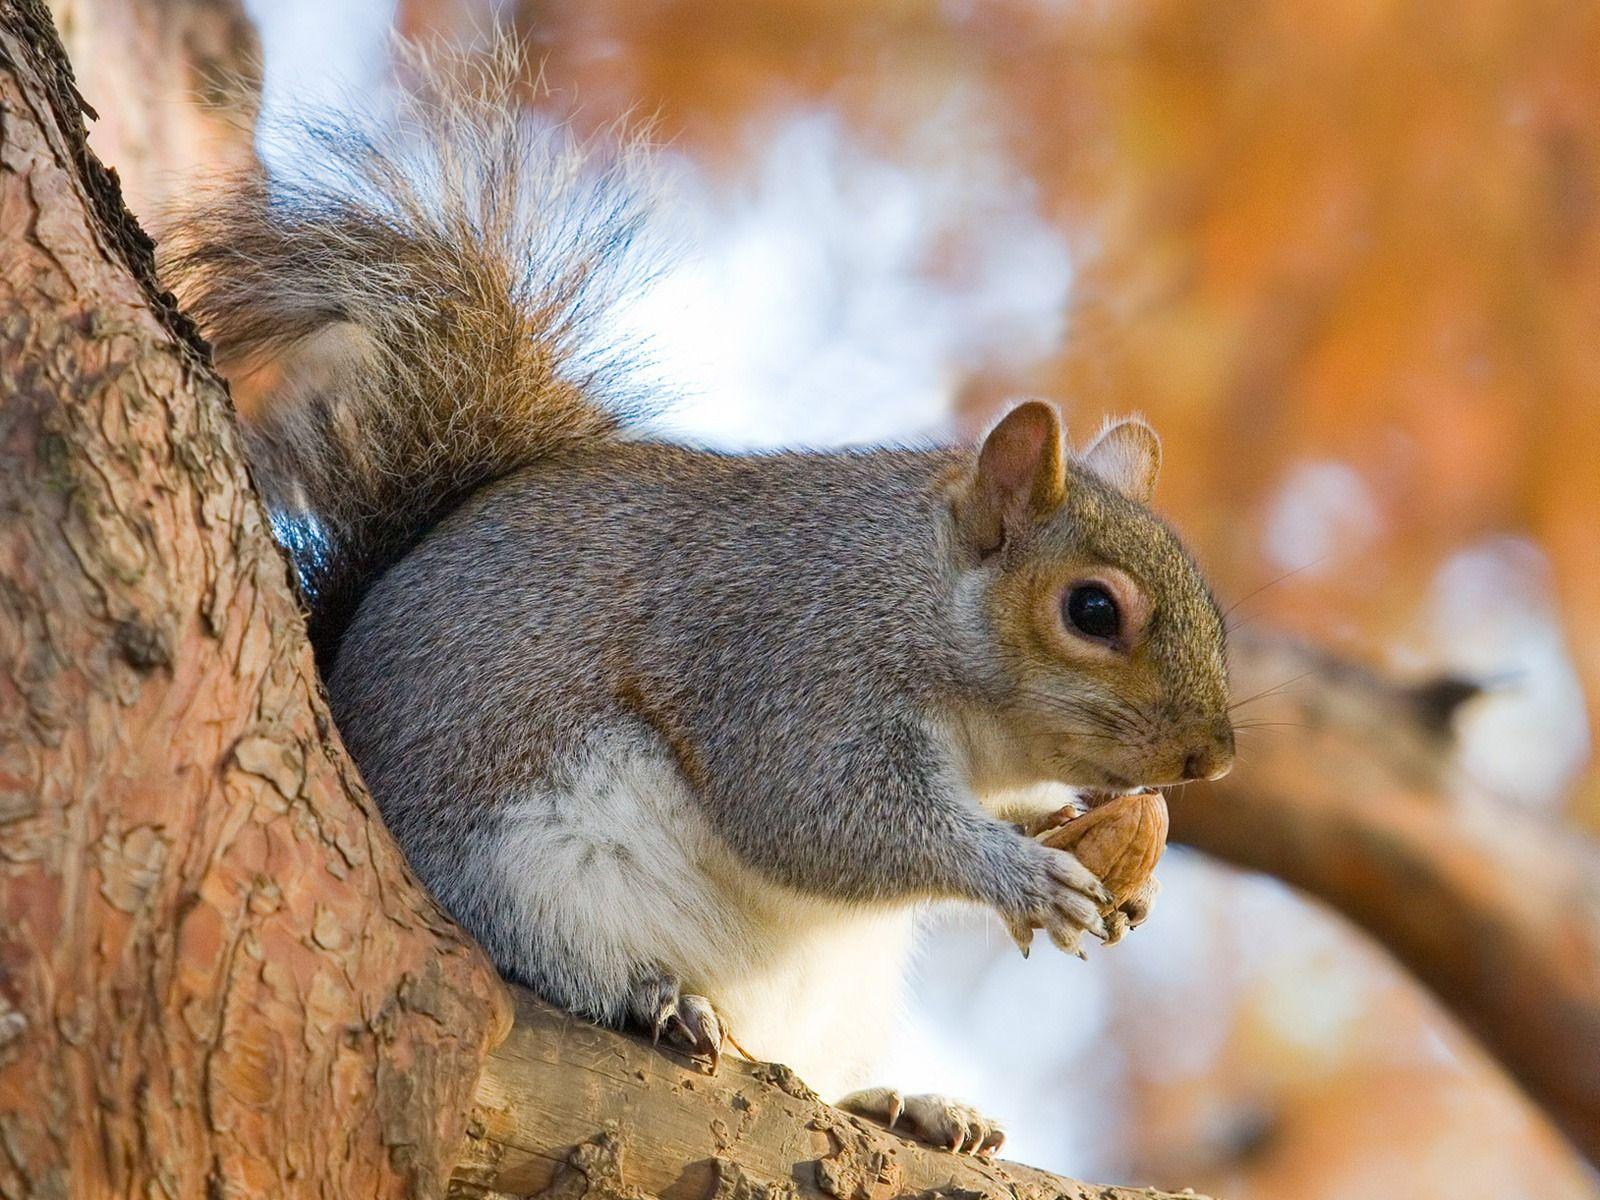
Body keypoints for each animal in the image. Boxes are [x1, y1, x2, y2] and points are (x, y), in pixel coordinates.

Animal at [164, 47, 1234, 1157]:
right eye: (1093, 612)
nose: (1213, 757)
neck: (916, 601)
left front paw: (1090, 843)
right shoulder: (786, 660)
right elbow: (816, 814)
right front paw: (1017, 874)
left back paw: (906, 1105)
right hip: (525, 877)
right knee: (557, 961)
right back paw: (656, 997)